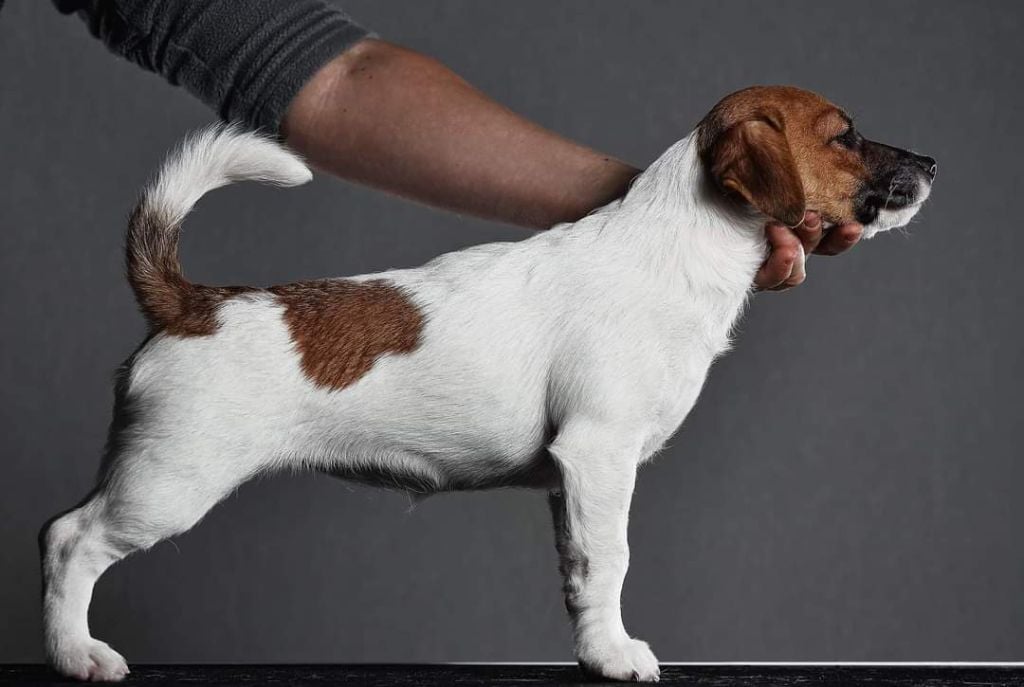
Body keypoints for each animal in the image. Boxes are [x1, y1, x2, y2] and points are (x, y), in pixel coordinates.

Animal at [40, 86, 935, 682]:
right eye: (846, 136)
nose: (930, 160)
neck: (674, 245)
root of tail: (193, 302)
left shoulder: (573, 479)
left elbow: (581, 569)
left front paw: (592, 650)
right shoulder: (600, 453)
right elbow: (613, 557)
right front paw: (620, 654)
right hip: (170, 479)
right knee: (71, 539)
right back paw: (77, 652)